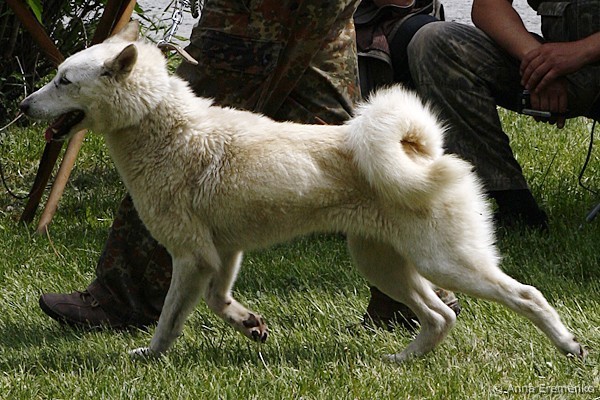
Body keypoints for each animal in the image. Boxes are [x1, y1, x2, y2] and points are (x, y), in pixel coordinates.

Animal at [20, 21, 584, 362]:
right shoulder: (222, 254)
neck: (164, 127)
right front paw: (250, 325)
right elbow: (218, 301)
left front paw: (150, 355)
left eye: (64, 80)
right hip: (383, 262)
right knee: (440, 316)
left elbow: (169, 319)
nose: (24, 106)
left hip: (446, 262)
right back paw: (400, 360)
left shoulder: (191, 256)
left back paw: (568, 346)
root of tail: (417, 149)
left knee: (526, 295)